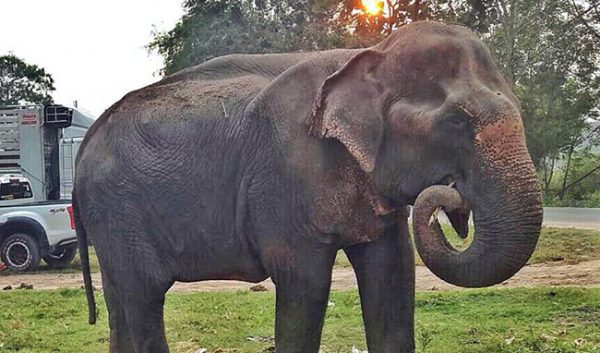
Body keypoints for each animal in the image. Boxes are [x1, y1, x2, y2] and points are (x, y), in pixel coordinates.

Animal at [74, 21, 544, 352]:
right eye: (456, 122)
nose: (453, 194)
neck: (369, 54)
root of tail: (84, 146)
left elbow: (393, 271)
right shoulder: (285, 176)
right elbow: (304, 280)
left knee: (121, 302)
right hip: (118, 208)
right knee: (144, 296)